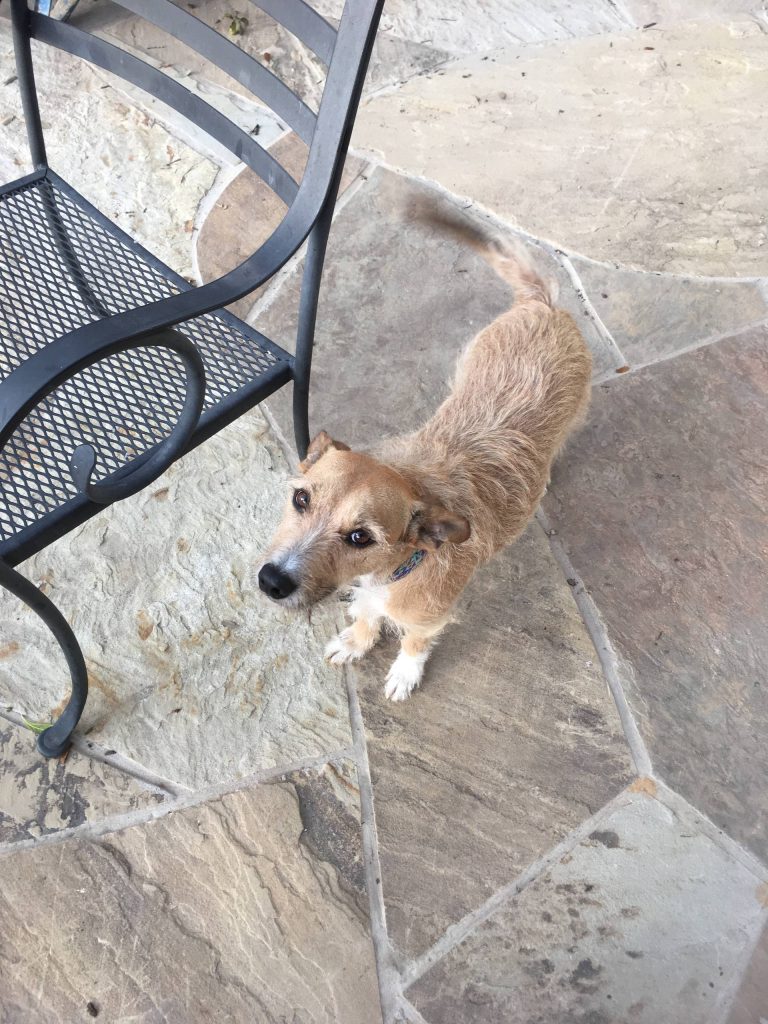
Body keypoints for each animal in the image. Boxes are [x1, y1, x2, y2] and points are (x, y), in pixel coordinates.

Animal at [259, 211, 589, 700]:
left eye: (360, 537)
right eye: (301, 499)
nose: (271, 581)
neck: (394, 570)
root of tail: (542, 304)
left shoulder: (428, 616)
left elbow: (414, 641)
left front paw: (403, 673)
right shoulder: (370, 594)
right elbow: (366, 616)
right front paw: (355, 642)